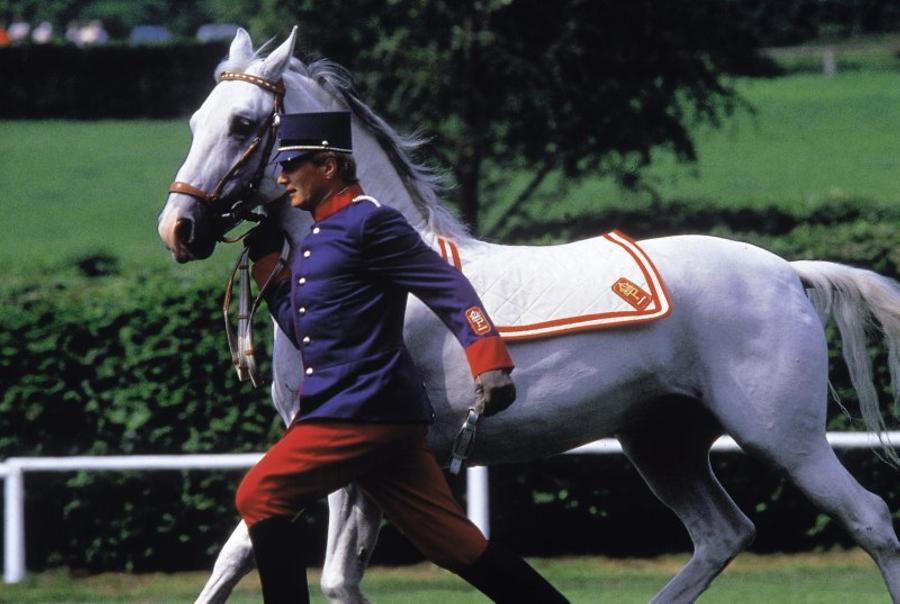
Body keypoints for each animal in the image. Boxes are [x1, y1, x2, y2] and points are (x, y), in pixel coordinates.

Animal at [158, 26, 900, 600]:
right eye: (194, 121)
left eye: (244, 124)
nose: (178, 228)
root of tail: (788, 273)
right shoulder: (327, 450)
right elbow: (238, 555)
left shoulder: (352, 451)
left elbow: (335, 577)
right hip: (663, 443)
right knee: (723, 534)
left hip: (784, 438)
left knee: (871, 520)